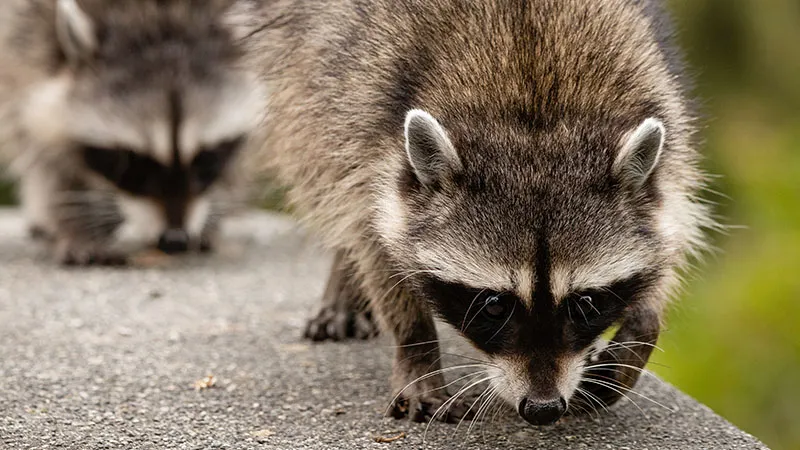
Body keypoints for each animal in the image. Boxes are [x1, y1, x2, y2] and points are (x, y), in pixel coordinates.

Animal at [0, 0, 268, 264]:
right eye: (131, 161)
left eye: (207, 158)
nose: (174, 239)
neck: (154, 16)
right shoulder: (26, 36)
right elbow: (45, 148)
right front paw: (75, 224)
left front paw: (215, 210)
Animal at [250, 0, 712, 426]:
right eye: (493, 305)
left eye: (585, 303)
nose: (542, 409)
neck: (534, 113)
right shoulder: (364, 116)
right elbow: (374, 238)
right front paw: (416, 347)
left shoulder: (663, 112)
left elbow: (664, 245)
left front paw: (638, 334)